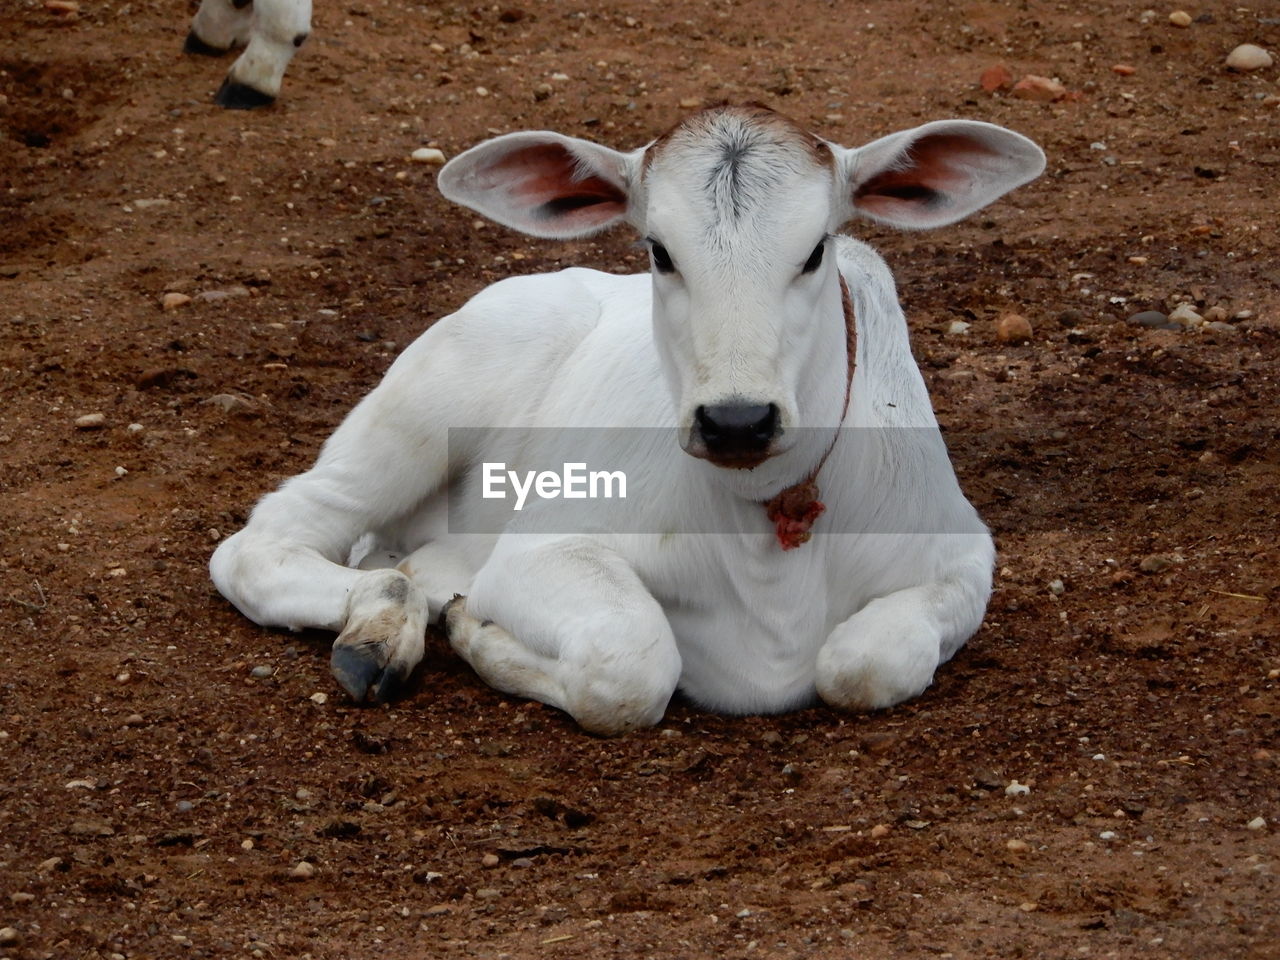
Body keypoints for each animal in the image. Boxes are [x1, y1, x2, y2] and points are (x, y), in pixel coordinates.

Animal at [209, 104, 1044, 732]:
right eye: (659, 250)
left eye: (815, 250)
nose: (737, 422)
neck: (766, 524)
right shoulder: (545, 549)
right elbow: (632, 667)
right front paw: (478, 634)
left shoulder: (962, 557)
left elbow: (863, 665)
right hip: (420, 407)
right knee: (265, 542)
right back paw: (382, 627)